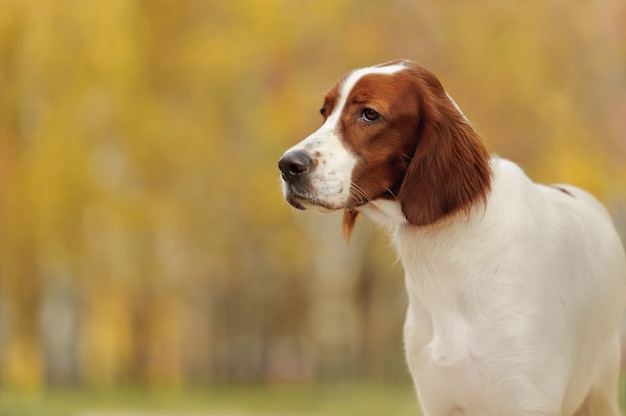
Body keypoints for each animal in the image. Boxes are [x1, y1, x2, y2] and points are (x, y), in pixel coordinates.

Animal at [278, 59, 624, 416]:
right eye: (324, 112)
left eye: (370, 114)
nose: (287, 165)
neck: (450, 252)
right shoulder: (438, 399)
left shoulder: (529, 398)